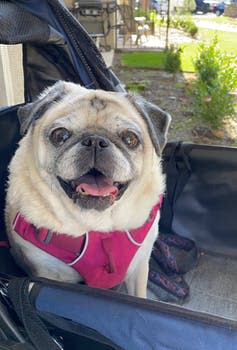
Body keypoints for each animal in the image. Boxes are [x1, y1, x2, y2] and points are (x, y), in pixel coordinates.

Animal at [4, 82, 169, 298]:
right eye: (60, 135)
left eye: (129, 138)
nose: (96, 141)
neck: (98, 223)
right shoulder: (49, 276)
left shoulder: (139, 267)